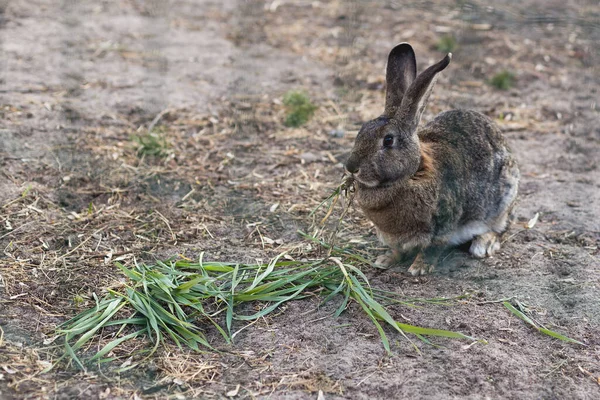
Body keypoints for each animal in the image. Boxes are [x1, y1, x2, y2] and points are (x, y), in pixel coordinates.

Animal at [346, 43, 520, 276]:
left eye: (388, 140)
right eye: (361, 131)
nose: (351, 167)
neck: (411, 174)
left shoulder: (443, 226)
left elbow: (431, 249)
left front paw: (419, 268)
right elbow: (397, 249)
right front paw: (385, 260)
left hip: (503, 200)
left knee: (501, 227)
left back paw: (483, 245)